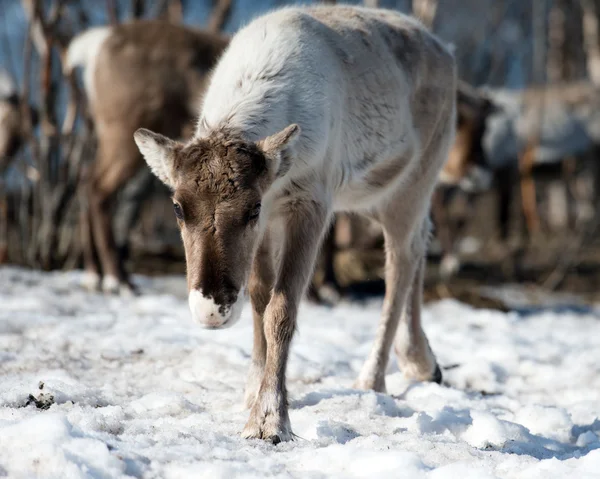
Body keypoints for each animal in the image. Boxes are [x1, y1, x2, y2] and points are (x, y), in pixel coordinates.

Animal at [135, 5, 454, 444]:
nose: (212, 310)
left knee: (400, 264)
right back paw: (422, 362)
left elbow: (281, 309)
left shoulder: (309, 203)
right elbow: (258, 298)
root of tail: (443, 48)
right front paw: (252, 392)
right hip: (375, 196)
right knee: (422, 241)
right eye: (179, 208)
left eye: (251, 207)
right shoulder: (272, 221)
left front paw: (270, 419)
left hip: (412, 184)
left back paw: (372, 379)